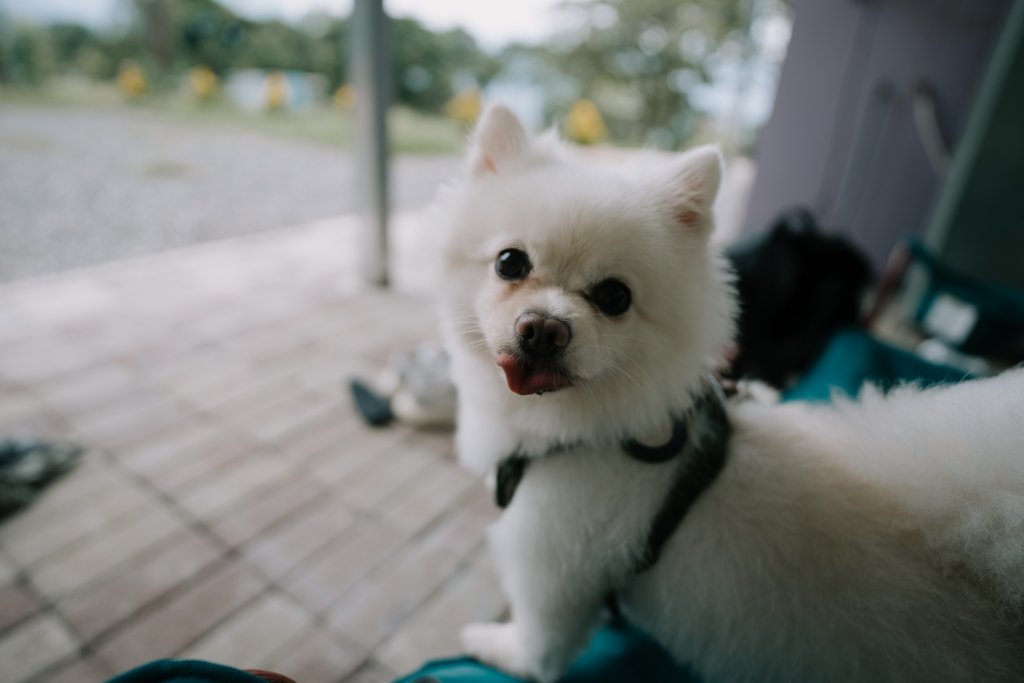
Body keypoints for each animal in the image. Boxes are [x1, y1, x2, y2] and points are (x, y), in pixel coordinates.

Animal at [434, 104, 1024, 679]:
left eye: (615, 297)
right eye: (510, 262)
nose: (543, 329)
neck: (598, 432)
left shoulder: (551, 564)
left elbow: (542, 651)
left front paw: (496, 648)